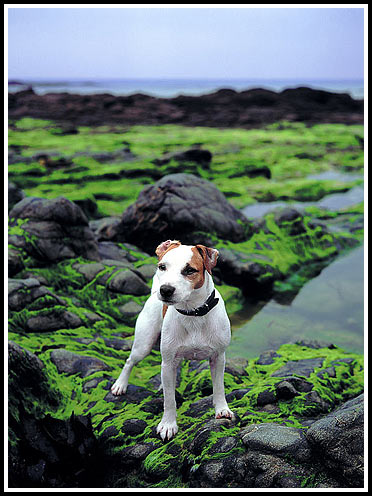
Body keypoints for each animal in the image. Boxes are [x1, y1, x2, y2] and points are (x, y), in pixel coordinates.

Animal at [110, 239, 234, 438]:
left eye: (190, 270)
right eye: (162, 267)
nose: (165, 289)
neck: (193, 313)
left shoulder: (218, 358)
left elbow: (219, 387)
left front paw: (222, 410)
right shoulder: (168, 362)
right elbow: (169, 399)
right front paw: (168, 424)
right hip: (144, 345)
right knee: (130, 361)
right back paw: (120, 385)